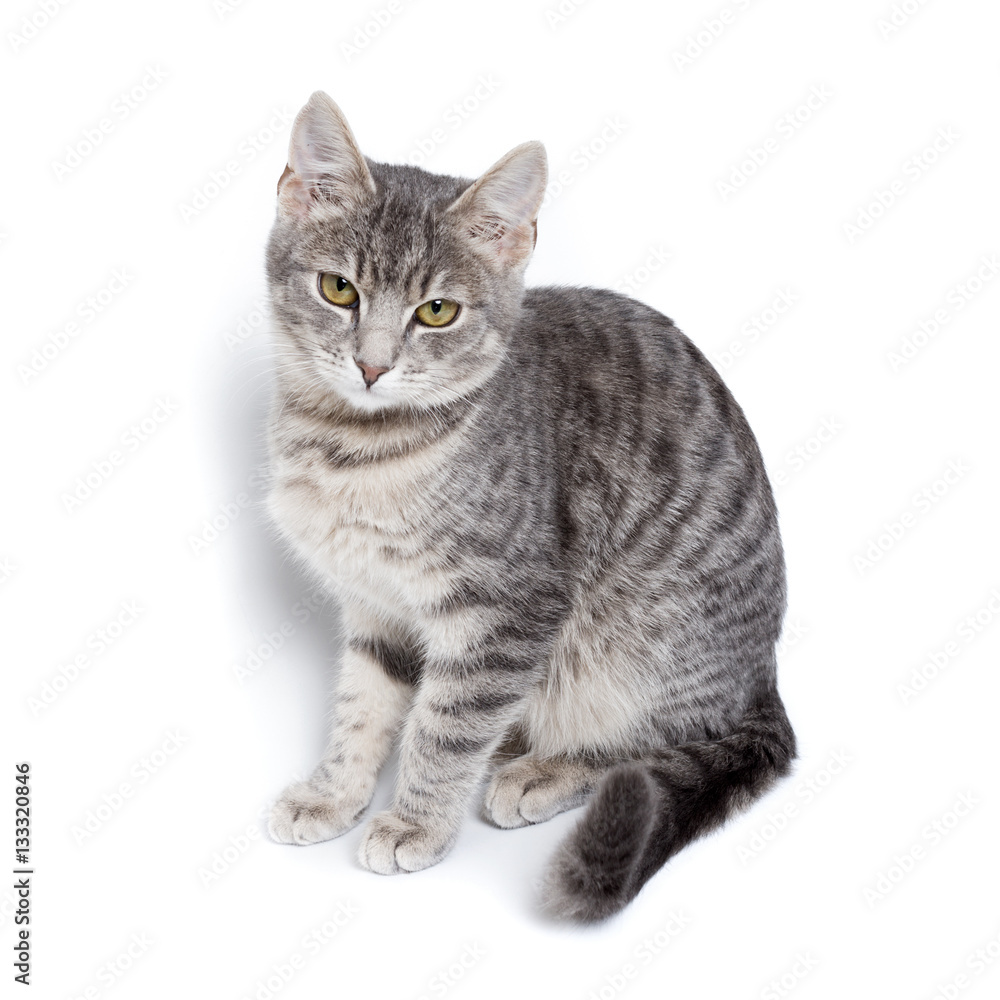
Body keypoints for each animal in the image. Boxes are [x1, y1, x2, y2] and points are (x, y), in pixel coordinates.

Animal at [264, 92, 796, 920]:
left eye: (437, 311)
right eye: (339, 290)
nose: (372, 364)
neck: (355, 450)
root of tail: (762, 676)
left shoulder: (511, 607)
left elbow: (447, 727)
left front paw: (416, 821)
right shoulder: (374, 603)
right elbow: (363, 705)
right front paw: (336, 791)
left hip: (633, 642)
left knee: (654, 745)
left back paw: (544, 768)